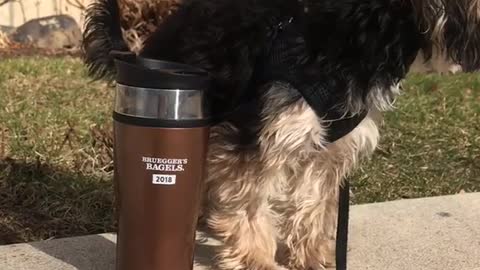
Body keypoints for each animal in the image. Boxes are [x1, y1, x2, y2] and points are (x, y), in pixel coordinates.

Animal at [82, 1, 480, 268]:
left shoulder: (328, 148)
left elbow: (313, 202)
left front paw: (311, 255)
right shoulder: (255, 134)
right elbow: (249, 201)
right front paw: (256, 258)